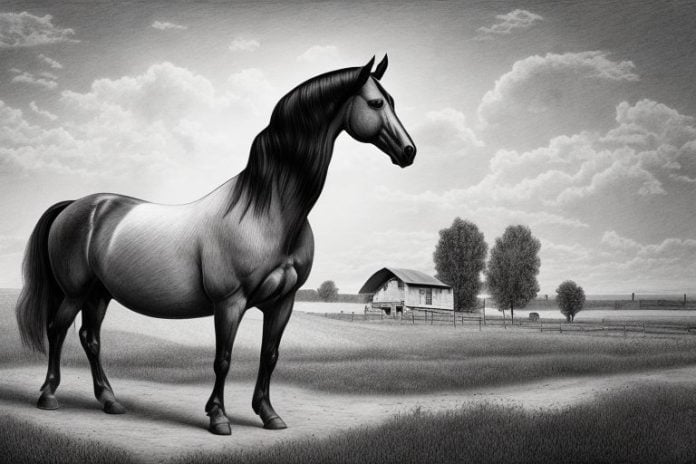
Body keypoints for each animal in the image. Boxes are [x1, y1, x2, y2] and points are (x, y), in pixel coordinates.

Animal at [15, 55, 416, 435]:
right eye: (376, 102)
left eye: (394, 101)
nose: (409, 152)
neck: (266, 211)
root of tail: (79, 205)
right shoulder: (229, 303)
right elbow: (223, 359)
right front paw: (218, 418)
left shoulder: (282, 303)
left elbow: (270, 355)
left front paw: (269, 415)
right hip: (75, 292)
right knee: (57, 330)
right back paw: (48, 396)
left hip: (99, 294)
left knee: (90, 338)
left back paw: (110, 400)